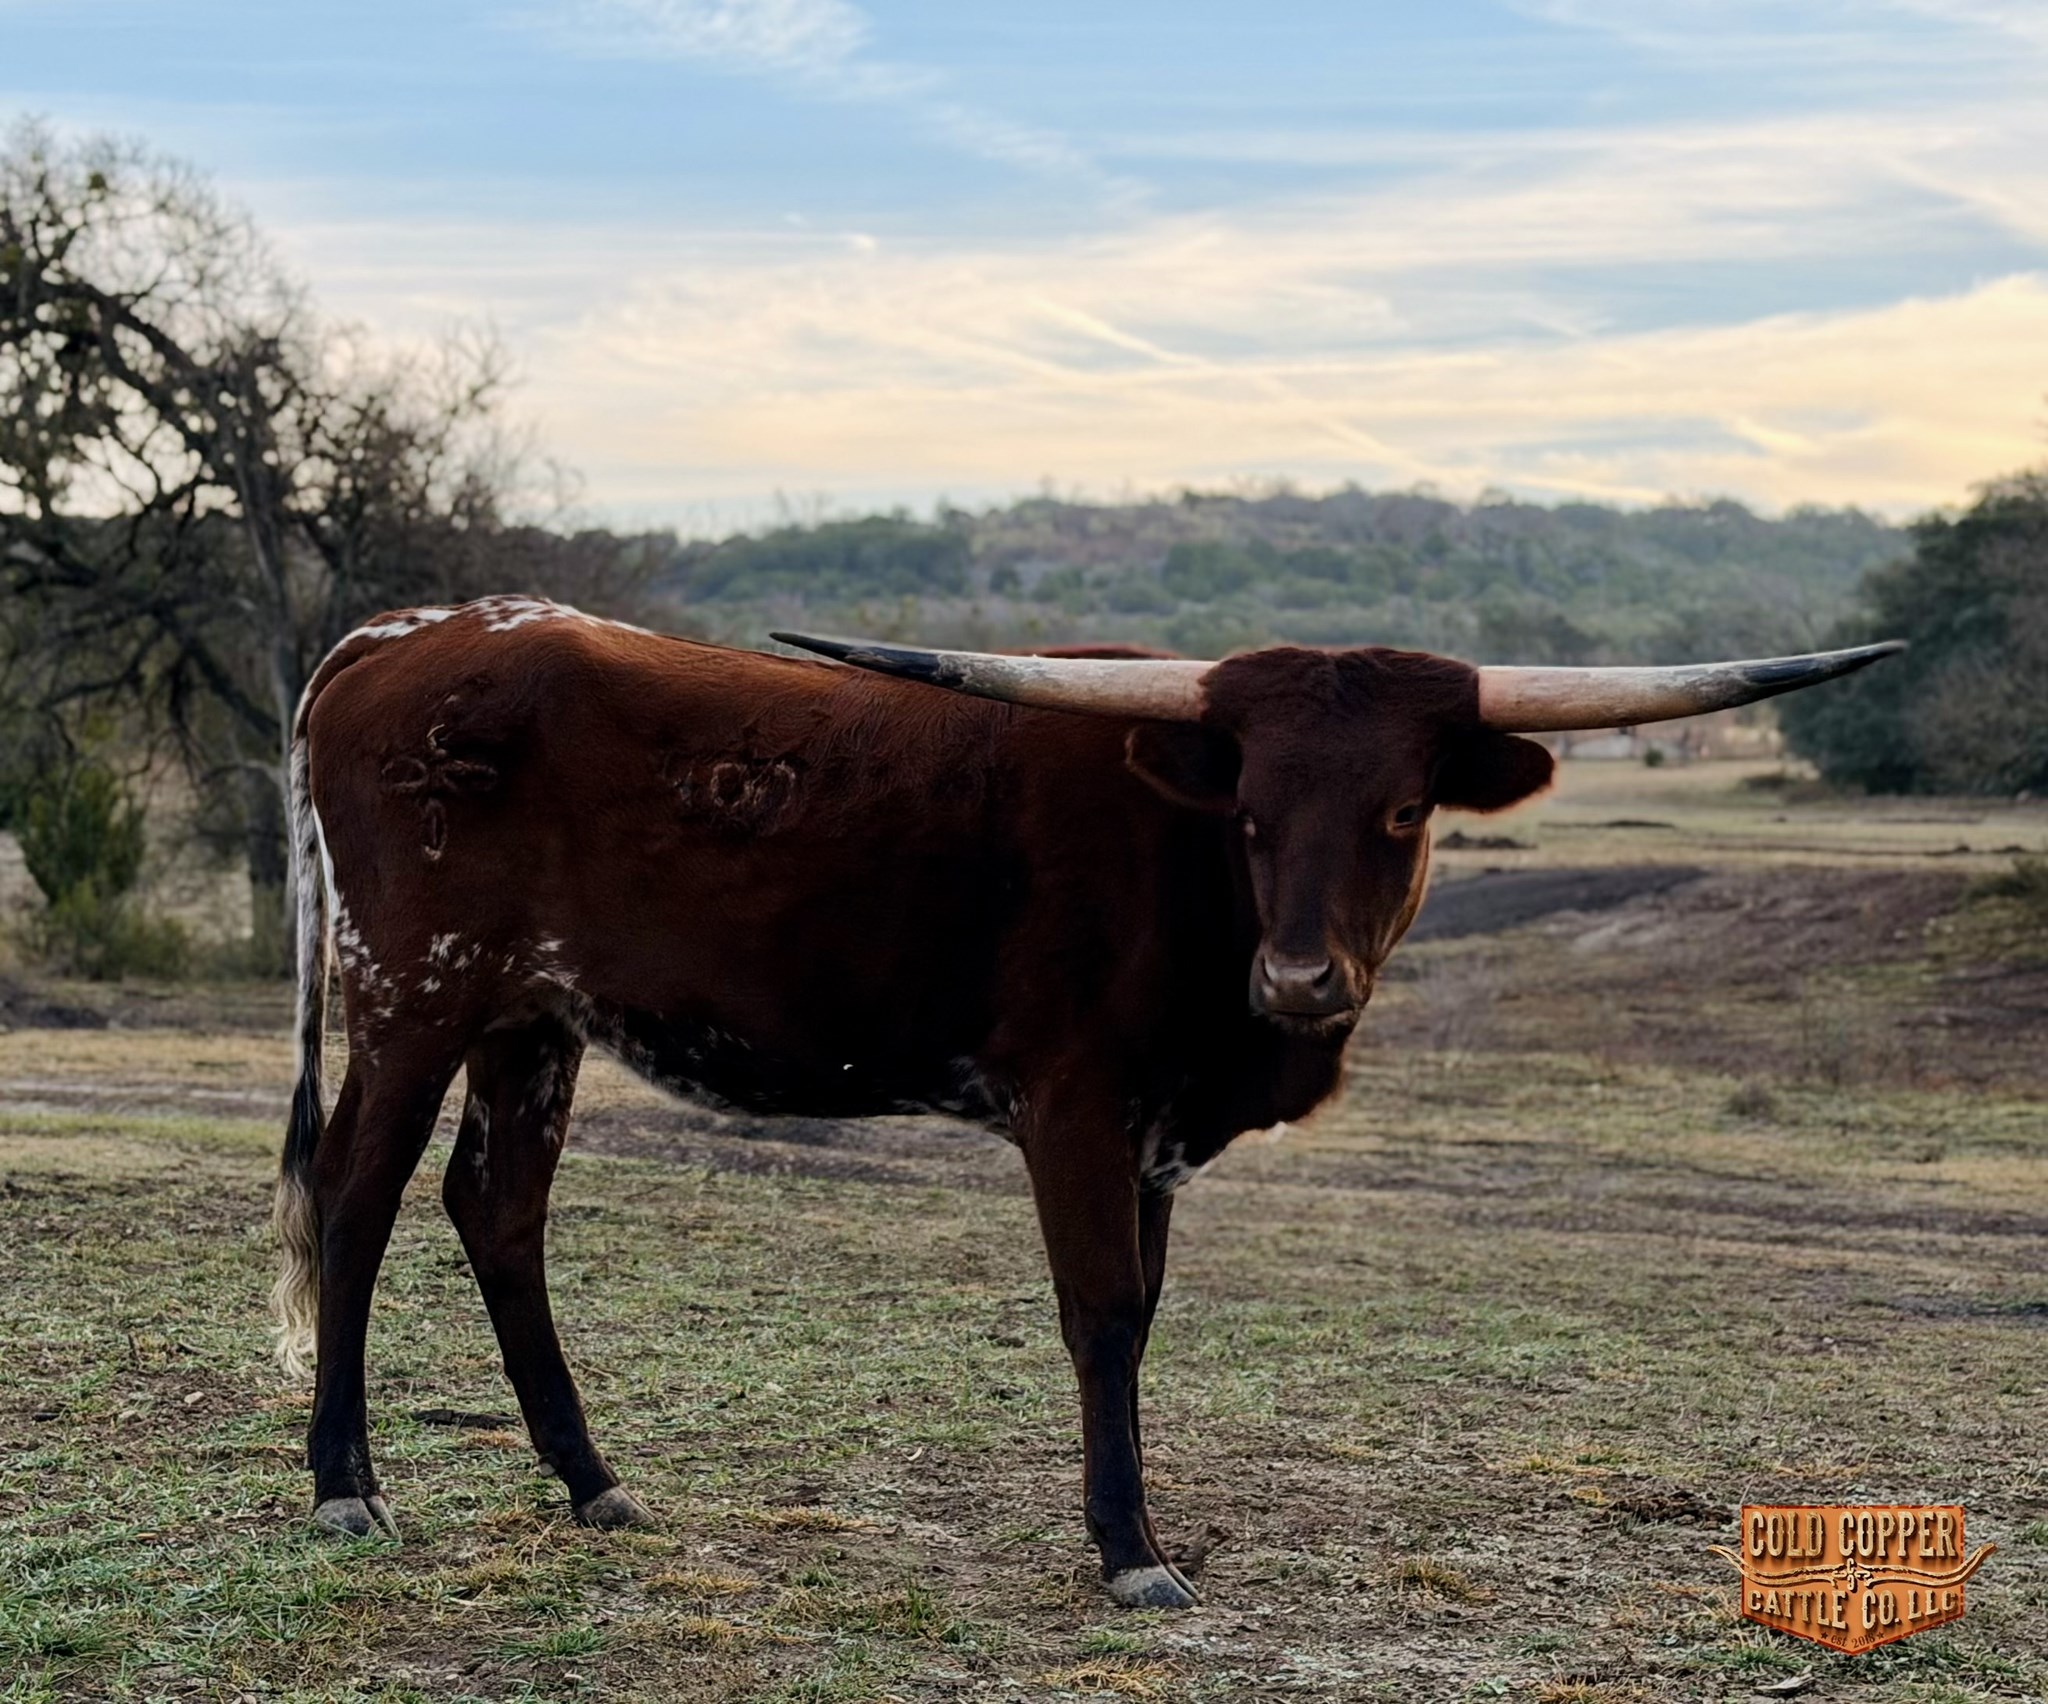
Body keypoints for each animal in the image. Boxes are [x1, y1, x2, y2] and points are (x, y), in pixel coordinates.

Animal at [272, 594, 1899, 1607]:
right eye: (1250, 811)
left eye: (1402, 809)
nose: (1300, 982)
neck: (1191, 881)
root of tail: (404, 637)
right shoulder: (1073, 1104)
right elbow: (1103, 1314)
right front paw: (1130, 1550)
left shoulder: (1158, 1138)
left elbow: (1148, 1313)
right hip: (412, 992)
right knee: (354, 1199)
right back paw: (345, 1486)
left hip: (530, 1020)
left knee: (498, 1211)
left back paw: (594, 1483)